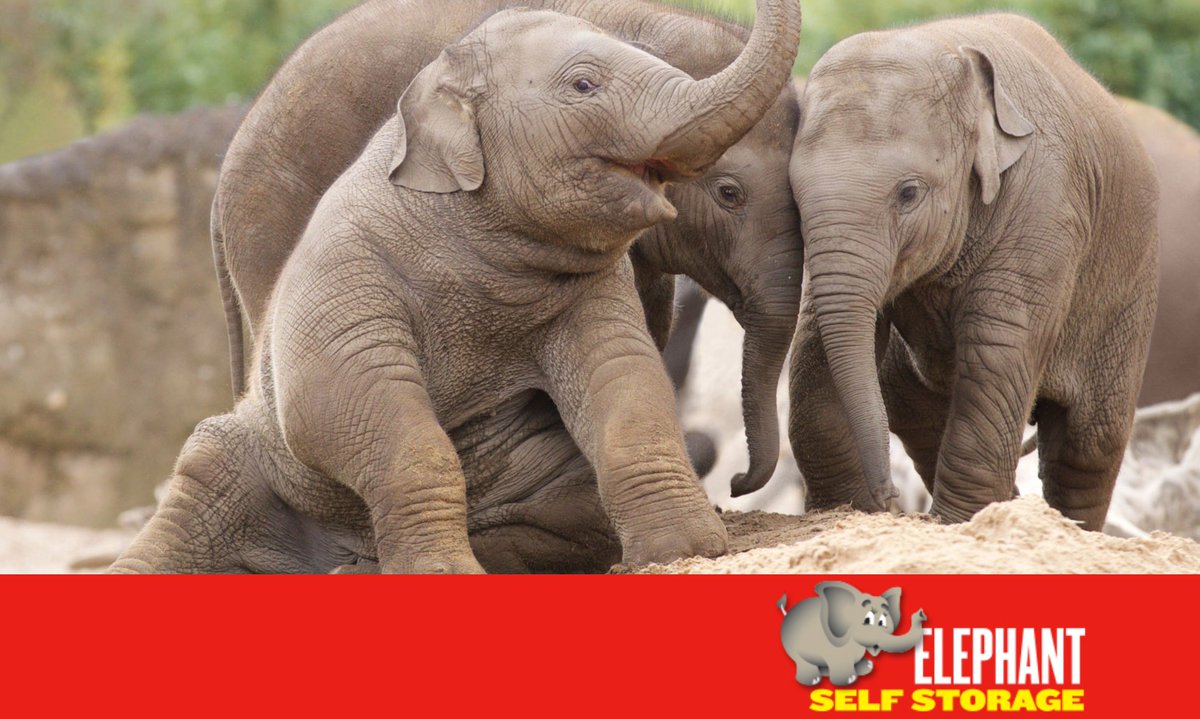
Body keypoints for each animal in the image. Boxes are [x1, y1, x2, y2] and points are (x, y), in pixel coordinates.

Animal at [111, 2, 803, 573]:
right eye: (728, 193)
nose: (740, 483)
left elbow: (622, 369)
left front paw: (688, 550)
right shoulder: (347, 264)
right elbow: (335, 396)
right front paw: (440, 575)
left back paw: (364, 570)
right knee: (207, 469)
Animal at [779, 582, 927, 686]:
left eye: (882, 622)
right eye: (867, 620)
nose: (921, 614)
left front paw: (867, 667)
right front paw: (849, 680)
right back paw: (813, 680)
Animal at [787, 14, 1159, 530]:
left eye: (908, 193)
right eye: (793, 197)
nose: (887, 498)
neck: (950, 50)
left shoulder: (1045, 207)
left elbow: (997, 346)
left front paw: (959, 522)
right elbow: (815, 338)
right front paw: (838, 510)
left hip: (1129, 299)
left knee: (1089, 446)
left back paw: (1067, 527)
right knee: (913, 409)